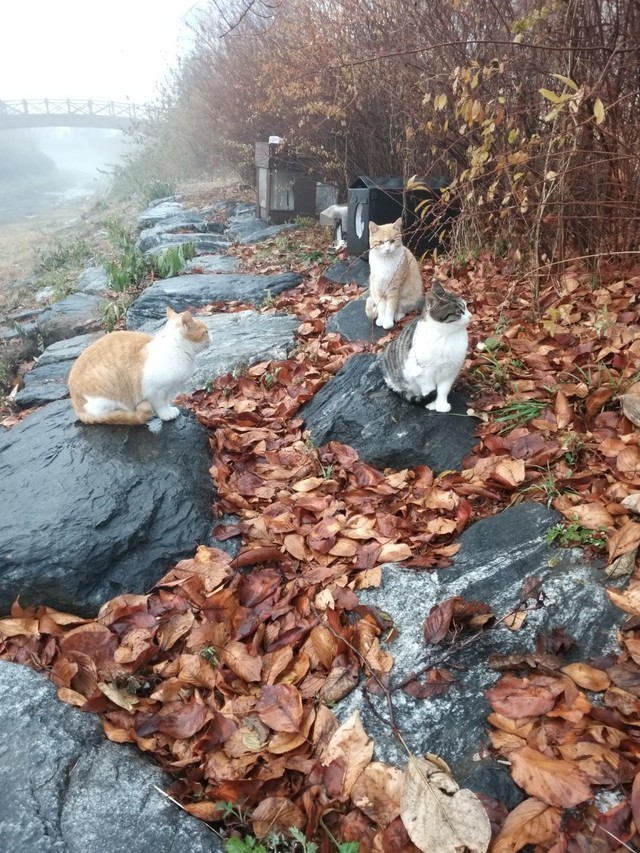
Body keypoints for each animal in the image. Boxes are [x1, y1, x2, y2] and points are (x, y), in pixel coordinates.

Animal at [68, 307, 210, 425]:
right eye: (206, 332)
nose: (212, 336)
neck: (177, 348)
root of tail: (76, 406)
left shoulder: (168, 390)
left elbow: (166, 401)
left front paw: (170, 409)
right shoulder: (155, 391)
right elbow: (160, 405)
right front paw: (166, 414)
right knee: (102, 414)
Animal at [380, 280, 471, 413]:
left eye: (466, 306)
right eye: (459, 312)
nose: (471, 316)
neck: (447, 336)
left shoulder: (450, 371)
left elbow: (443, 390)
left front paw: (441, 405)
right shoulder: (421, 373)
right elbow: (430, 389)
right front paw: (432, 404)